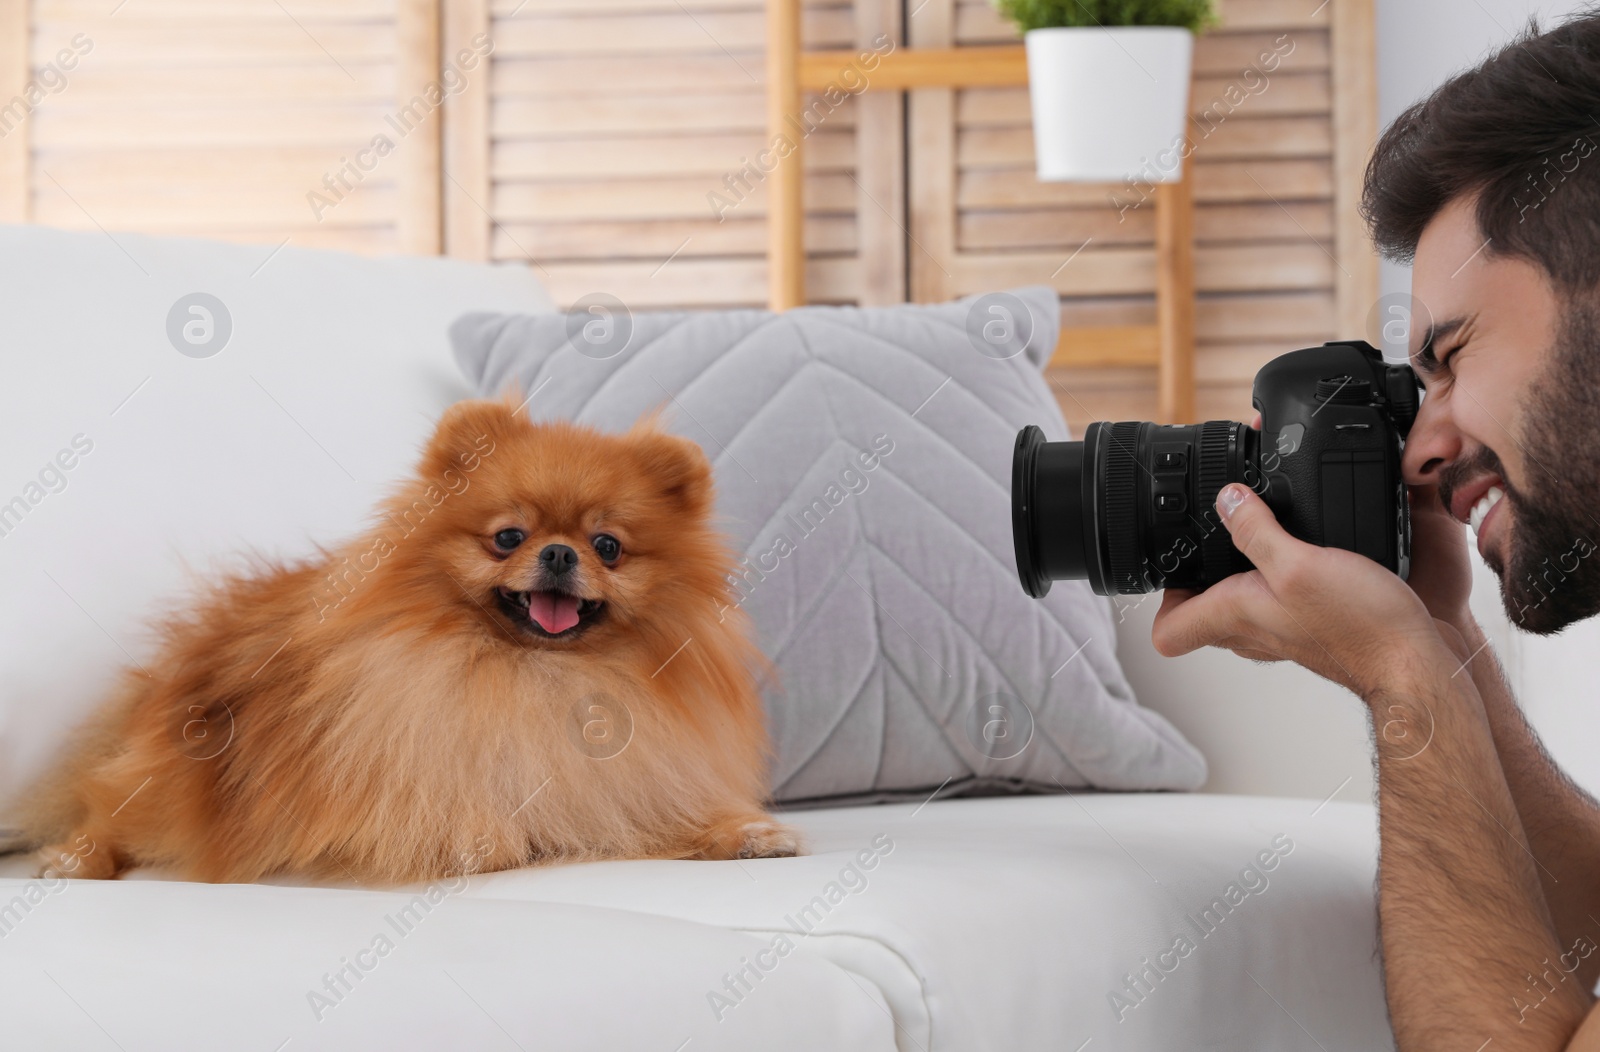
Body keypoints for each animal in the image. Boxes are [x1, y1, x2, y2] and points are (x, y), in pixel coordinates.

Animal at [18, 398, 800, 882]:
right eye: (508, 537)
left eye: (608, 546)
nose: (558, 553)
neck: (537, 676)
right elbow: (471, 831)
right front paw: (489, 842)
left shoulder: (620, 785)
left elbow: (647, 813)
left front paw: (743, 832)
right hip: (170, 775)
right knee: (113, 809)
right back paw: (75, 858)